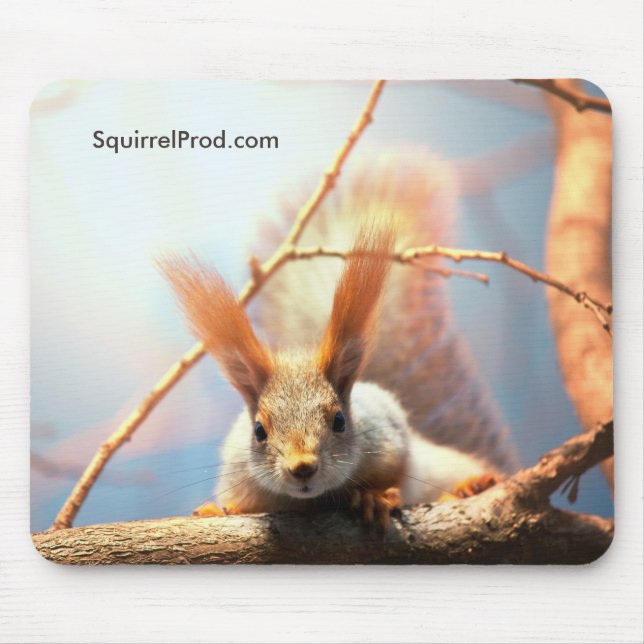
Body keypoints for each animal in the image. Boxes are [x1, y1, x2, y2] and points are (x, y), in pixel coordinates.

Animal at [160, 151, 518, 529]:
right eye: (258, 430)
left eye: (339, 421)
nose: (302, 467)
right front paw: (218, 509)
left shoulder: (388, 435)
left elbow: (396, 471)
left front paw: (374, 497)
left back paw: (470, 486)